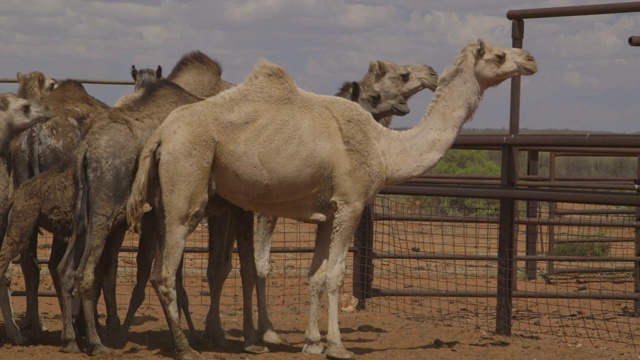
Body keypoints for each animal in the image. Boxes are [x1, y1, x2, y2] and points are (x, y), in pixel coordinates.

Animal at [127, 40, 536, 360]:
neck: (384, 148)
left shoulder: (329, 212)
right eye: (499, 55)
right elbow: (336, 276)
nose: (530, 59)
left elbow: (315, 276)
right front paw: (338, 346)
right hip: (187, 185)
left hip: (170, 198)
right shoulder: (352, 205)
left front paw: (311, 342)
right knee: (166, 271)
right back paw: (186, 347)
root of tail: (161, 134)